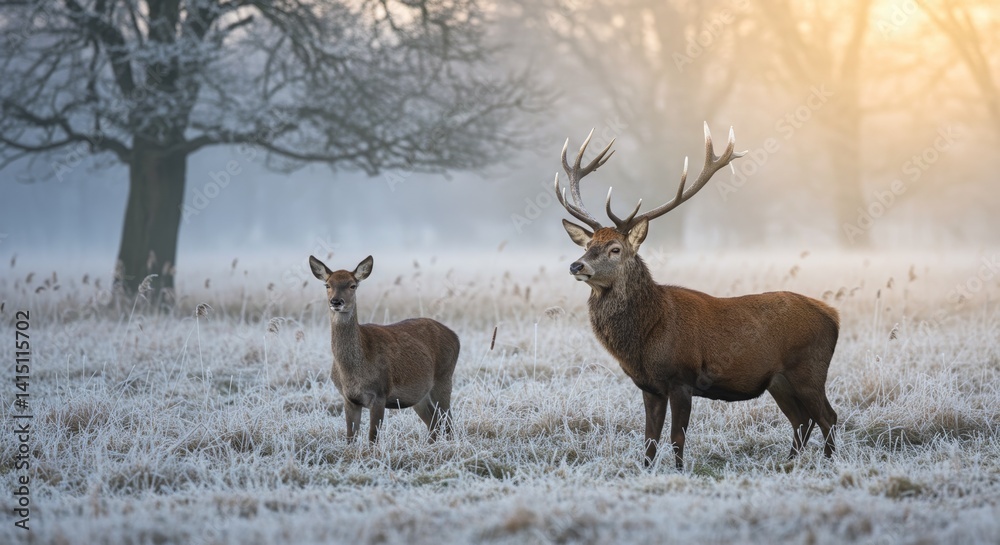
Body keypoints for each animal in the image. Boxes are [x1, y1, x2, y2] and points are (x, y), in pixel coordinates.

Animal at [309, 255, 460, 444]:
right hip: (419, 394)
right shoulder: (348, 398)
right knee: (434, 422)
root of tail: (455, 337)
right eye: (327, 285)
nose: (336, 301)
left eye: (352, 285)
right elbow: (350, 437)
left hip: (444, 377)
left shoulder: (380, 393)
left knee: (448, 421)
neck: (351, 373)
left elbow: (373, 438)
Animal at [554, 124, 839, 470]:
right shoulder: (649, 387)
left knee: (827, 417)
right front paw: (645, 471)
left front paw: (679, 472)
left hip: (809, 368)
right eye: (587, 245)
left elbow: (677, 437)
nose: (576, 265)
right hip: (779, 380)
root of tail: (834, 316)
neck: (645, 338)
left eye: (615, 249)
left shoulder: (681, 378)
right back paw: (788, 464)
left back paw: (830, 464)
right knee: (802, 420)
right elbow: (649, 439)